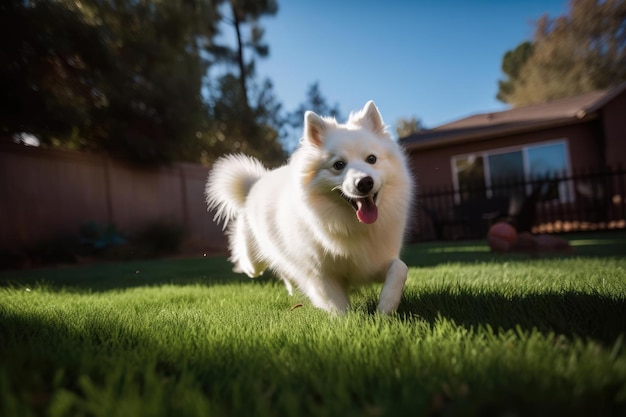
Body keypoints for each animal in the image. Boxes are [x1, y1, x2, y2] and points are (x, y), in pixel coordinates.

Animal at [206, 101, 414, 312]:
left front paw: (386, 306)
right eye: (339, 165)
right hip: (254, 260)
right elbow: (339, 307)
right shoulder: (320, 273)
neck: (350, 224)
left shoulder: (374, 262)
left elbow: (400, 268)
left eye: (371, 159)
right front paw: (350, 318)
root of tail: (254, 184)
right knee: (254, 265)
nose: (364, 182)